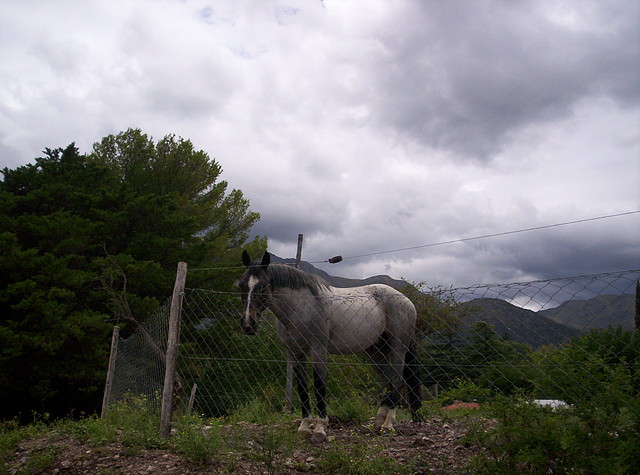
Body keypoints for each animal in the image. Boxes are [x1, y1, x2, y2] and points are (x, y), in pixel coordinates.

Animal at [238, 251, 422, 444]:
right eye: (242, 284)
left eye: (263, 286)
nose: (248, 324)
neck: (302, 306)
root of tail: (407, 301)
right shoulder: (295, 353)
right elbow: (302, 387)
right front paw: (304, 427)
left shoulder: (318, 350)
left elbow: (319, 385)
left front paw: (320, 428)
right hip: (376, 352)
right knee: (388, 380)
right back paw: (378, 422)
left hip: (398, 348)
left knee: (397, 379)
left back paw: (388, 424)